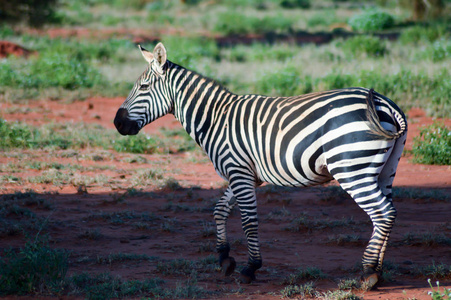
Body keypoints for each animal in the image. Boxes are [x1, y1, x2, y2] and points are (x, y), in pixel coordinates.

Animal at [115, 42, 408, 288]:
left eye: (143, 88)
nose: (118, 123)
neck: (215, 118)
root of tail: (382, 102)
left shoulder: (239, 172)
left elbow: (249, 221)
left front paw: (250, 268)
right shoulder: (243, 174)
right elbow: (220, 209)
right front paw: (224, 258)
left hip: (352, 169)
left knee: (382, 213)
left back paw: (368, 272)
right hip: (385, 170)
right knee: (390, 212)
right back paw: (379, 271)